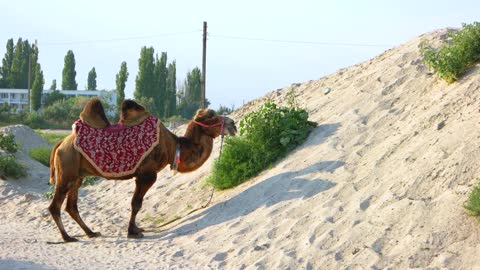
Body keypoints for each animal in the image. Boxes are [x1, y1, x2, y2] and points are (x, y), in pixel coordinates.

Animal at [48, 99, 236, 243]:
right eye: (212, 117)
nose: (233, 124)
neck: (171, 146)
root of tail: (60, 143)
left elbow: (136, 204)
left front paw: (136, 228)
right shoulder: (147, 174)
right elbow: (136, 204)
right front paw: (133, 231)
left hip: (77, 175)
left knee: (71, 206)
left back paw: (91, 232)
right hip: (67, 171)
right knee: (55, 206)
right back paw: (67, 237)